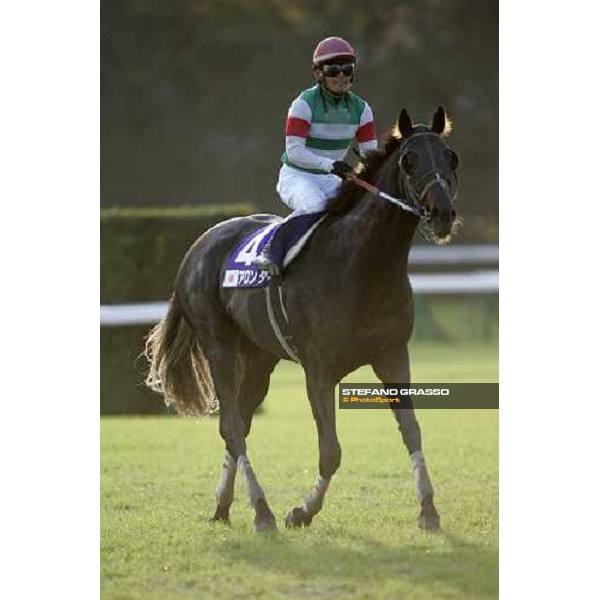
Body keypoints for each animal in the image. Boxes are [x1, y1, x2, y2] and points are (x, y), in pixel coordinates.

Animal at [144, 105, 460, 532]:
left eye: (450, 158)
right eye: (409, 160)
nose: (442, 214)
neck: (363, 264)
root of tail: (198, 246)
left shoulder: (392, 355)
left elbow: (412, 431)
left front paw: (428, 509)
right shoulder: (319, 370)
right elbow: (331, 451)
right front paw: (302, 511)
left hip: (259, 357)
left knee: (240, 422)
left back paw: (223, 506)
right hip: (219, 345)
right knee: (231, 426)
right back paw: (261, 511)